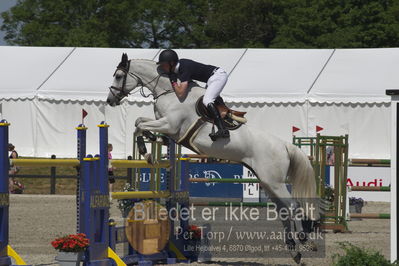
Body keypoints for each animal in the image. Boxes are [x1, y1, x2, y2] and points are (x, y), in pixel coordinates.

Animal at [106, 54, 322, 264]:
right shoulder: (165, 126)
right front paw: (150, 143)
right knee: (283, 211)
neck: (169, 92)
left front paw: (147, 150)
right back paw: (294, 251)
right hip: (268, 182)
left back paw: (306, 240)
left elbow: (140, 125)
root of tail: (284, 145)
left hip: (274, 182)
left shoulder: (169, 125)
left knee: (293, 206)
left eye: (118, 75)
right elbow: (139, 123)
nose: (110, 100)